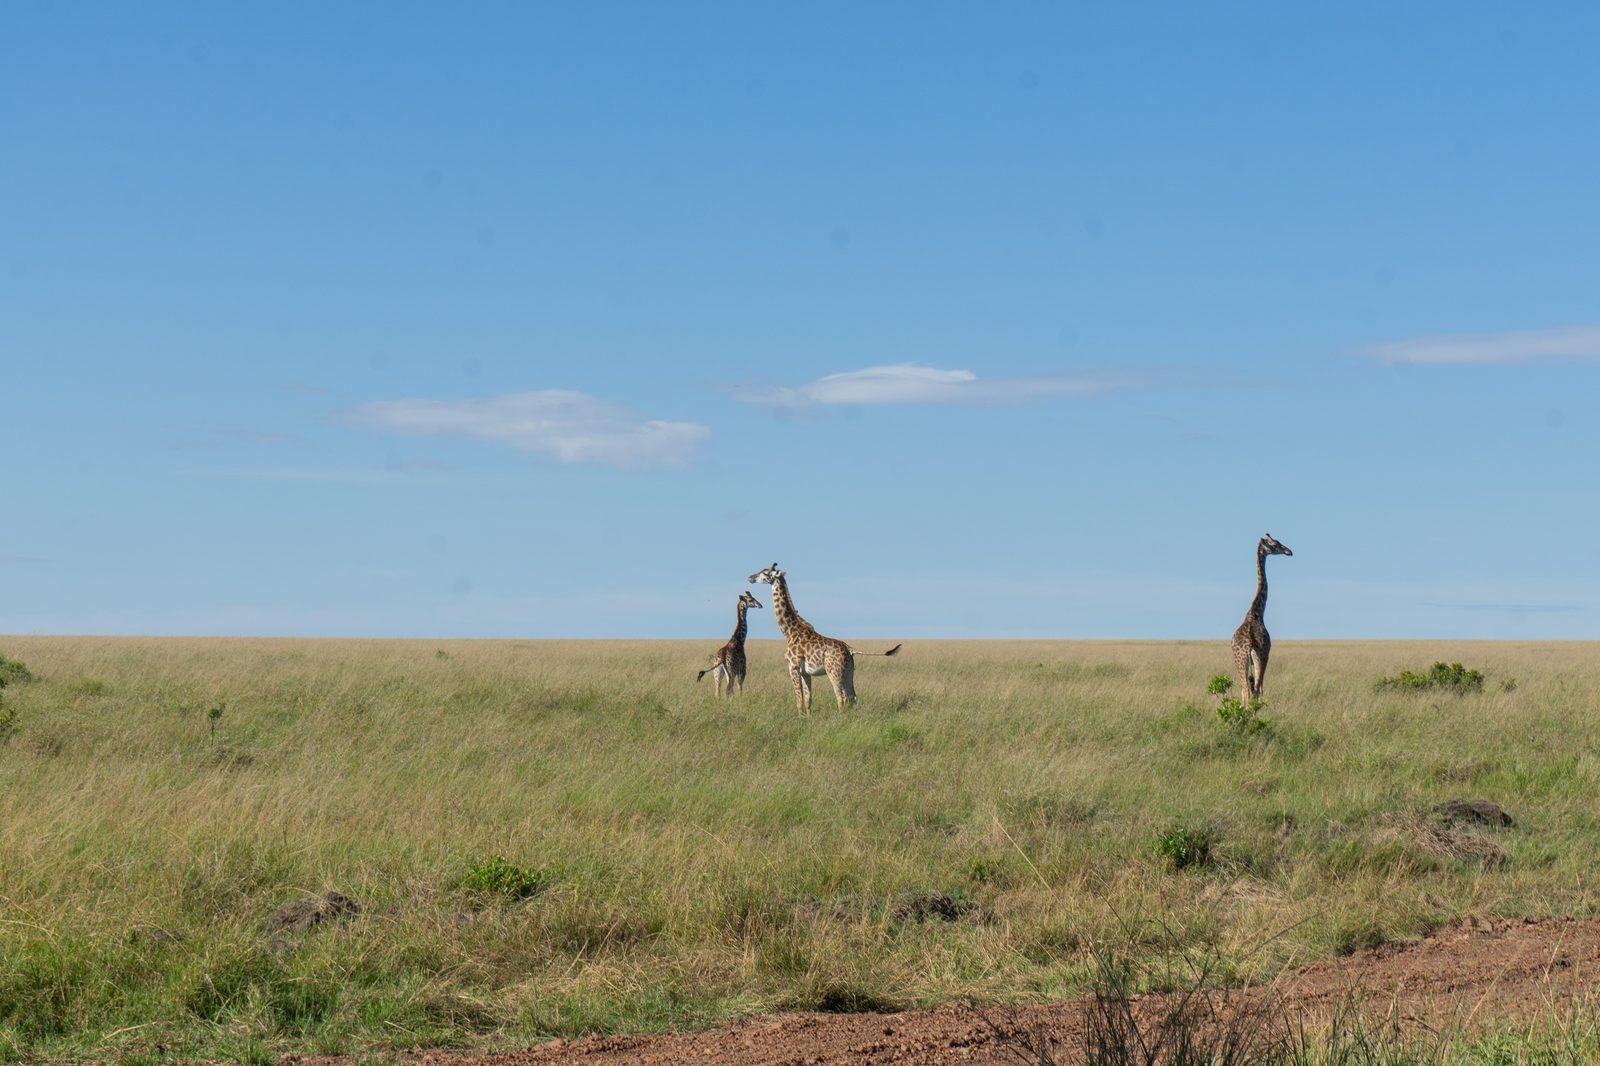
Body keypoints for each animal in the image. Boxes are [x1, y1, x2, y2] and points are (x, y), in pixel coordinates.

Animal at [747, 563, 901, 716]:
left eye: (766, 572)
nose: (750, 577)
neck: (789, 631)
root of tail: (850, 649)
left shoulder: (793, 667)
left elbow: (798, 699)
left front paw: (800, 719)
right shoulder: (805, 672)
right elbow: (808, 699)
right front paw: (808, 719)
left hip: (834, 671)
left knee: (841, 696)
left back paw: (840, 717)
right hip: (849, 671)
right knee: (852, 696)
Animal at [1231, 534, 1293, 702]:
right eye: (1275, 544)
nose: (1289, 551)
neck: (1256, 612)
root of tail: (1250, 643)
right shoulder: (1267, 654)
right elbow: (1259, 690)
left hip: (1242, 663)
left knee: (1247, 690)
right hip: (1261, 658)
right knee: (1254, 690)